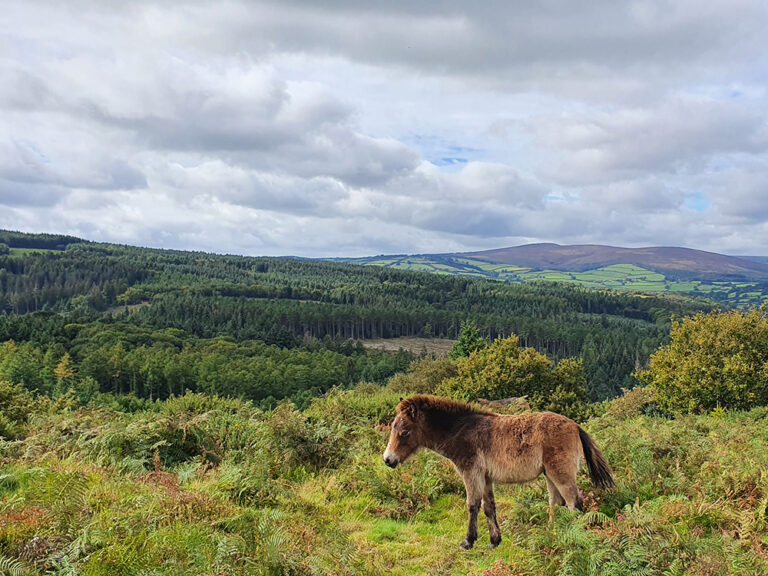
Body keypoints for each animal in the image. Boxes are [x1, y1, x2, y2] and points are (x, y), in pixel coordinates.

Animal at [380, 396, 616, 548]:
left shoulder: (471, 473)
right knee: (557, 504)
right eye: (392, 427)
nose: (388, 460)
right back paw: (553, 535)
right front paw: (494, 541)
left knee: (574, 504)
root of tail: (575, 426)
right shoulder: (485, 478)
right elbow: (489, 508)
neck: (461, 431)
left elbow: (472, 505)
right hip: (550, 475)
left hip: (561, 474)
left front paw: (468, 541)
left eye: (404, 432)